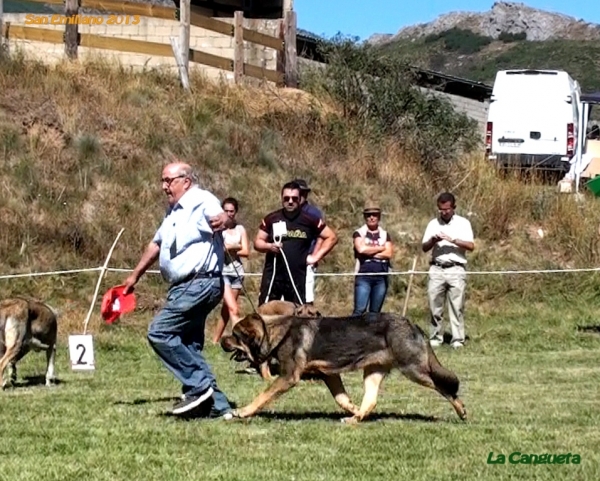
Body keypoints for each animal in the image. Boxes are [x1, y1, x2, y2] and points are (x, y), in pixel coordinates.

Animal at [221, 310, 468, 422]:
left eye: (234, 335)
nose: (221, 340)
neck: (274, 333)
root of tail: (412, 324)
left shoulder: (288, 377)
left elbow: (262, 396)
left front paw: (243, 411)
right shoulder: (329, 375)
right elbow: (342, 399)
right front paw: (353, 409)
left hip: (414, 369)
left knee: (445, 387)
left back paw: (461, 410)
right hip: (373, 372)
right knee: (371, 401)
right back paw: (354, 419)